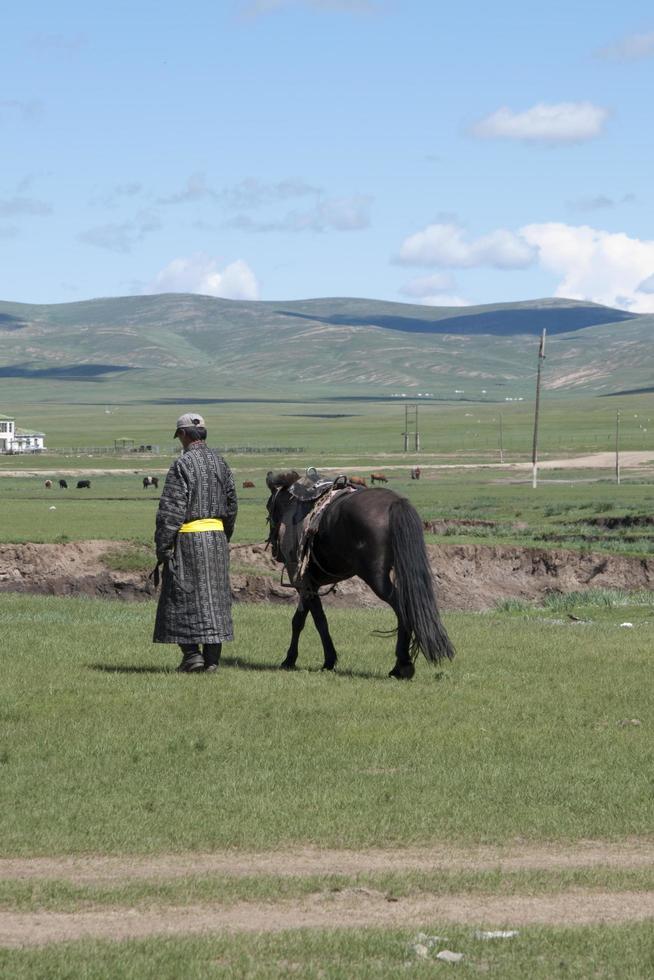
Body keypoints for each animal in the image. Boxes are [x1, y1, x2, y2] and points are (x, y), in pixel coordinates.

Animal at [264, 470, 454, 676]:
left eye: (268, 506)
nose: (274, 549)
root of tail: (395, 503)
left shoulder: (302, 581)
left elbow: (306, 620)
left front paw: (295, 659)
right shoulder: (311, 584)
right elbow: (315, 618)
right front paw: (326, 659)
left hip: (376, 578)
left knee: (402, 607)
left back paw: (402, 665)